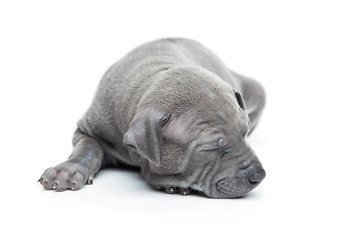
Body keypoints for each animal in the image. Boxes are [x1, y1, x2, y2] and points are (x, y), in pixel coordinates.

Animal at [38, 38, 266, 199]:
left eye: (245, 133)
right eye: (210, 149)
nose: (259, 176)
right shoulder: (89, 127)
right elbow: (88, 147)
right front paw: (66, 170)